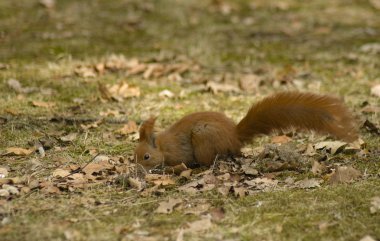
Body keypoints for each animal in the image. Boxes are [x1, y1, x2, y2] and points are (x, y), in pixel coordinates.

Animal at [135, 91, 358, 171]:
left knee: (208, 161)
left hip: (203, 137)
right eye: (134, 155)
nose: (137, 169)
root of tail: (234, 137)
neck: (162, 147)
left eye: (146, 156)